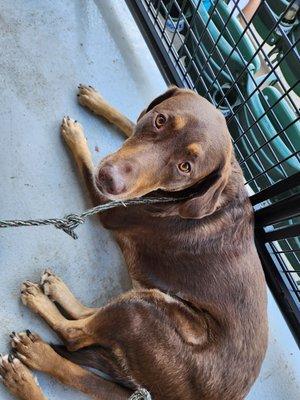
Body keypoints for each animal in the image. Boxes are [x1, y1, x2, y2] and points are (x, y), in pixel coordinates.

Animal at [0, 86, 268, 398]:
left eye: (185, 167)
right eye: (160, 120)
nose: (110, 179)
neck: (188, 196)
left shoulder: (110, 206)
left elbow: (86, 166)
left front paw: (76, 138)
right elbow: (130, 122)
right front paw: (97, 102)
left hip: (143, 310)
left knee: (75, 335)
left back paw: (37, 338)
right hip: (145, 301)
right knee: (91, 317)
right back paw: (56, 290)